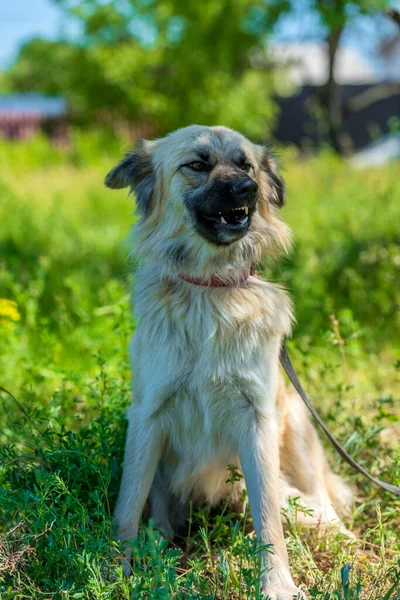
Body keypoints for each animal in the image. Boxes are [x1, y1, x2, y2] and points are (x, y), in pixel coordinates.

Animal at [104, 124, 352, 596]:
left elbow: (269, 516)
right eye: (197, 165)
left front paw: (277, 584)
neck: (211, 289)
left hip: (296, 423)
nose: (247, 190)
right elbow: (128, 502)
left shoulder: (256, 418)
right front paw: (116, 571)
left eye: (246, 166)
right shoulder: (148, 415)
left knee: (321, 501)